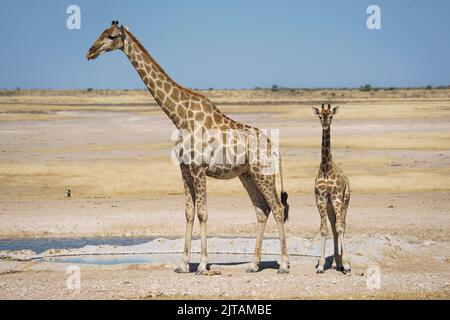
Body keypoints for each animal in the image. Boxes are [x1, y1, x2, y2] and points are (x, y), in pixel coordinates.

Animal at [87, 21, 290, 274]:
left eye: (112, 36)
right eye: (101, 33)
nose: (90, 52)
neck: (179, 117)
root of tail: (275, 148)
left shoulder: (199, 169)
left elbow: (203, 213)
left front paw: (202, 265)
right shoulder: (184, 170)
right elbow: (189, 213)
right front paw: (183, 265)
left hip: (264, 173)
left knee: (278, 208)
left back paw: (284, 264)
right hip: (247, 175)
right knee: (262, 210)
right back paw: (253, 265)